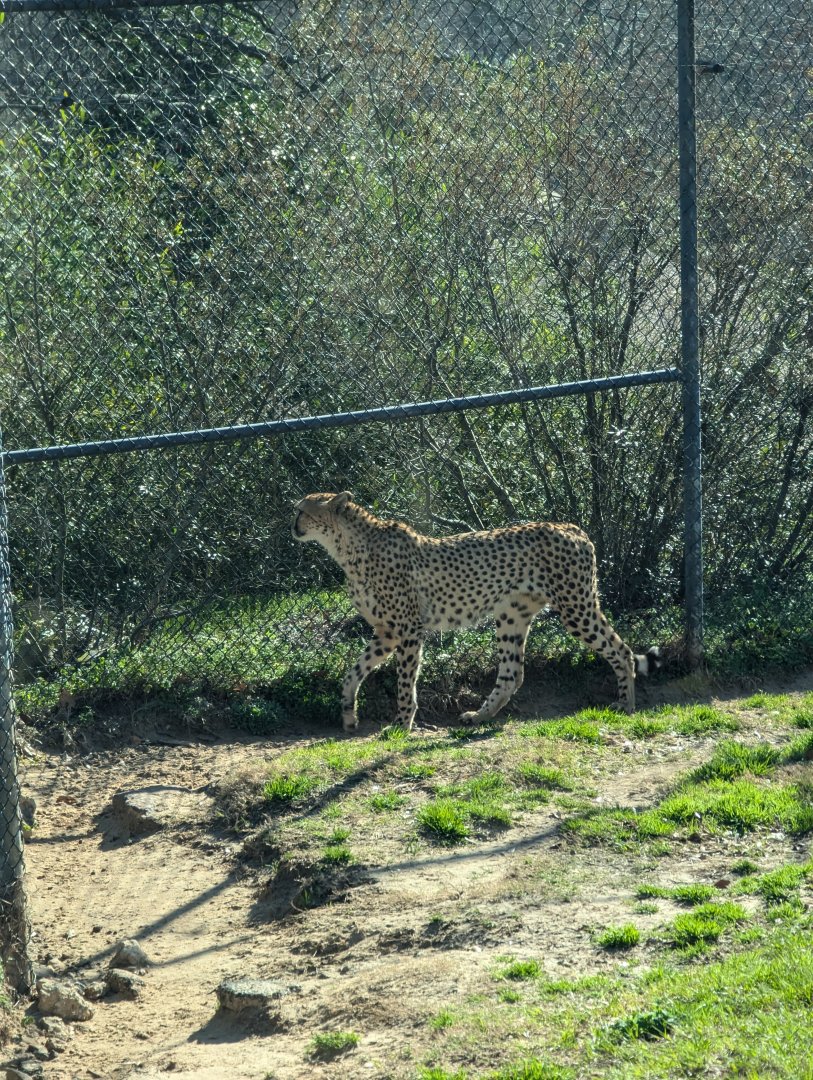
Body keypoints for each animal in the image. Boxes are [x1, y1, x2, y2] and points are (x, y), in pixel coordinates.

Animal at [292, 491, 661, 731]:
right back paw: (479, 717)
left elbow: (405, 680)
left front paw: (401, 723)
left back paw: (626, 705)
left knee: (620, 649)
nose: (292, 526)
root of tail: (570, 527)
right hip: (512, 614)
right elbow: (353, 672)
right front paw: (348, 714)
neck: (346, 547)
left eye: (302, 511)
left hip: (575, 606)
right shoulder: (386, 632)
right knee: (513, 674)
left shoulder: (408, 629)